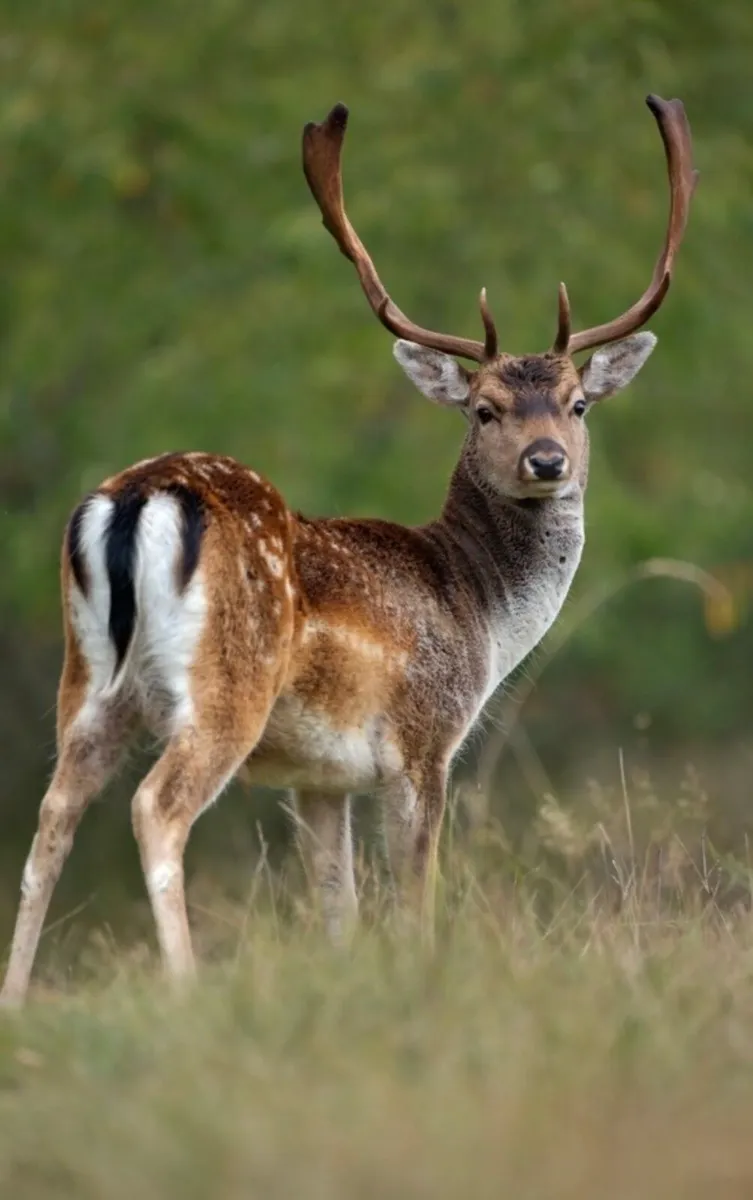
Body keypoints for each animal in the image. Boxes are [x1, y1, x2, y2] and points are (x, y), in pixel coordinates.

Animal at [0, 94, 697, 1006]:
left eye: (577, 404)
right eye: (483, 408)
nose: (546, 461)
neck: (478, 610)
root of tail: (134, 498)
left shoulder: (317, 776)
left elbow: (338, 907)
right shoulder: (423, 740)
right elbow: (411, 897)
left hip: (85, 682)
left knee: (51, 816)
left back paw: (15, 999)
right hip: (225, 685)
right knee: (156, 808)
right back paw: (185, 988)